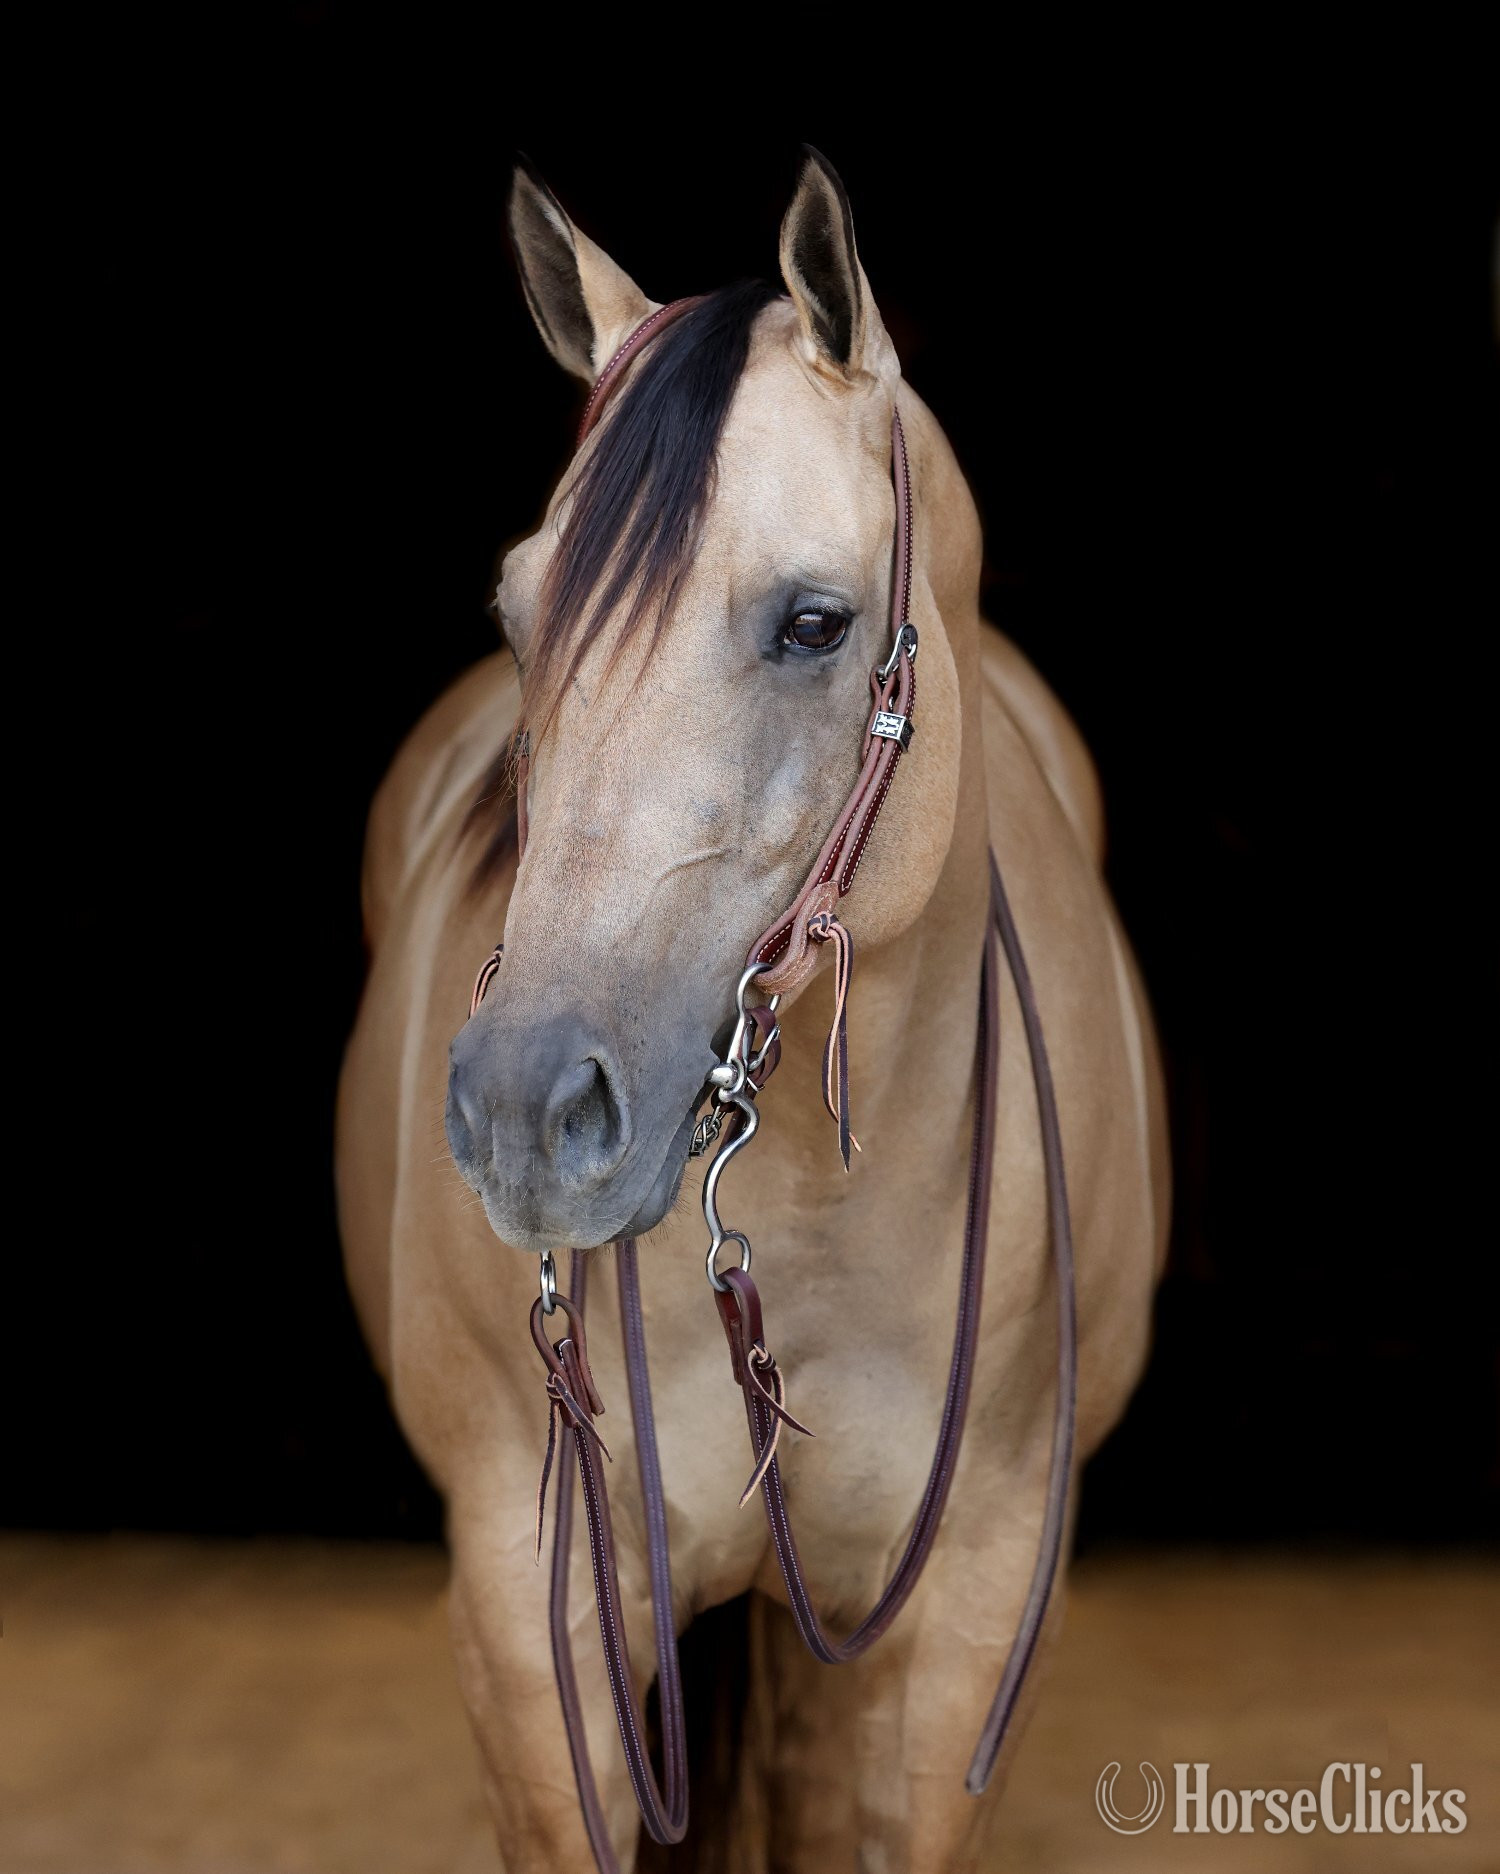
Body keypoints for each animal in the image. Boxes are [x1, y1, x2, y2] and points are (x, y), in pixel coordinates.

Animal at [336, 148, 1169, 1873]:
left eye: (815, 622)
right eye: (520, 616)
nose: (525, 1111)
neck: (821, 1223)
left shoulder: (967, 1610)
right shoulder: (533, 1624)